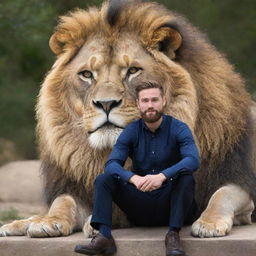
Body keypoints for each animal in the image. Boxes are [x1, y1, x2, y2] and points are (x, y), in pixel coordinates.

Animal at [0, 0, 256, 238]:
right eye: (87, 75)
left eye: (133, 70)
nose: (105, 104)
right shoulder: (79, 191)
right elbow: (63, 201)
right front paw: (47, 220)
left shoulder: (238, 183)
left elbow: (223, 194)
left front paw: (209, 223)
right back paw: (19, 223)